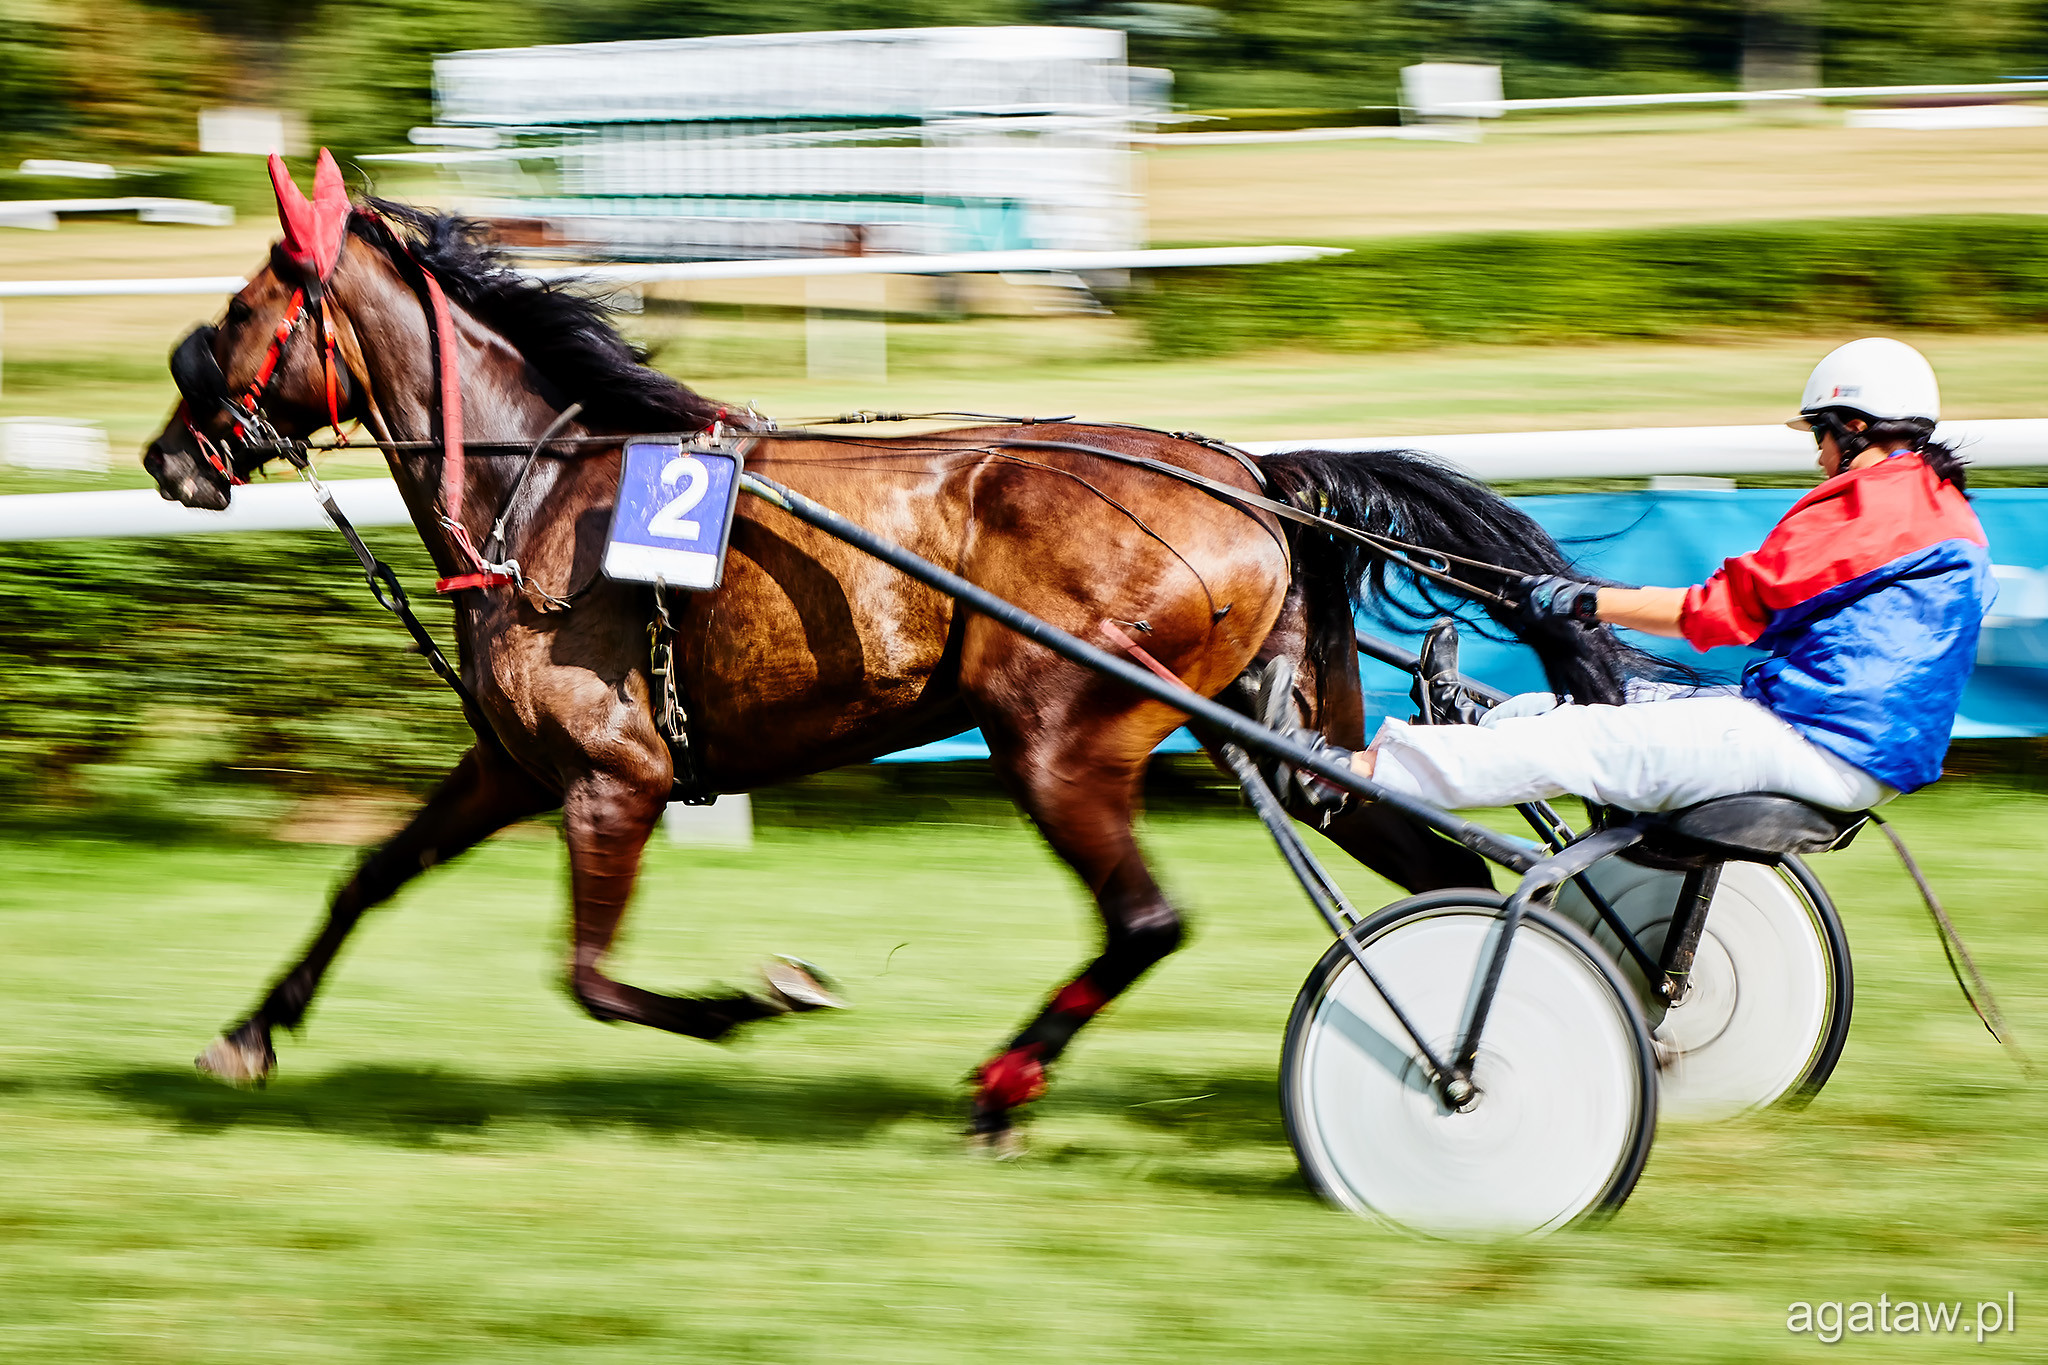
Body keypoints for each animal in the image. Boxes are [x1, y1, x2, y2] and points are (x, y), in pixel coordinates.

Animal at [140, 179, 1646, 1146]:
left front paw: (753, 1001)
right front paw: (252, 1031)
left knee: (1148, 919)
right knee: (1434, 864)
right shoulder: (514, 763)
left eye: (241, 311)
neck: (548, 494)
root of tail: (1249, 477)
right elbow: (368, 875)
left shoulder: (616, 775)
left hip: (1057, 732)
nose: (166, 456)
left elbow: (590, 979)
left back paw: (1004, 1089)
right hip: (1275, 731)